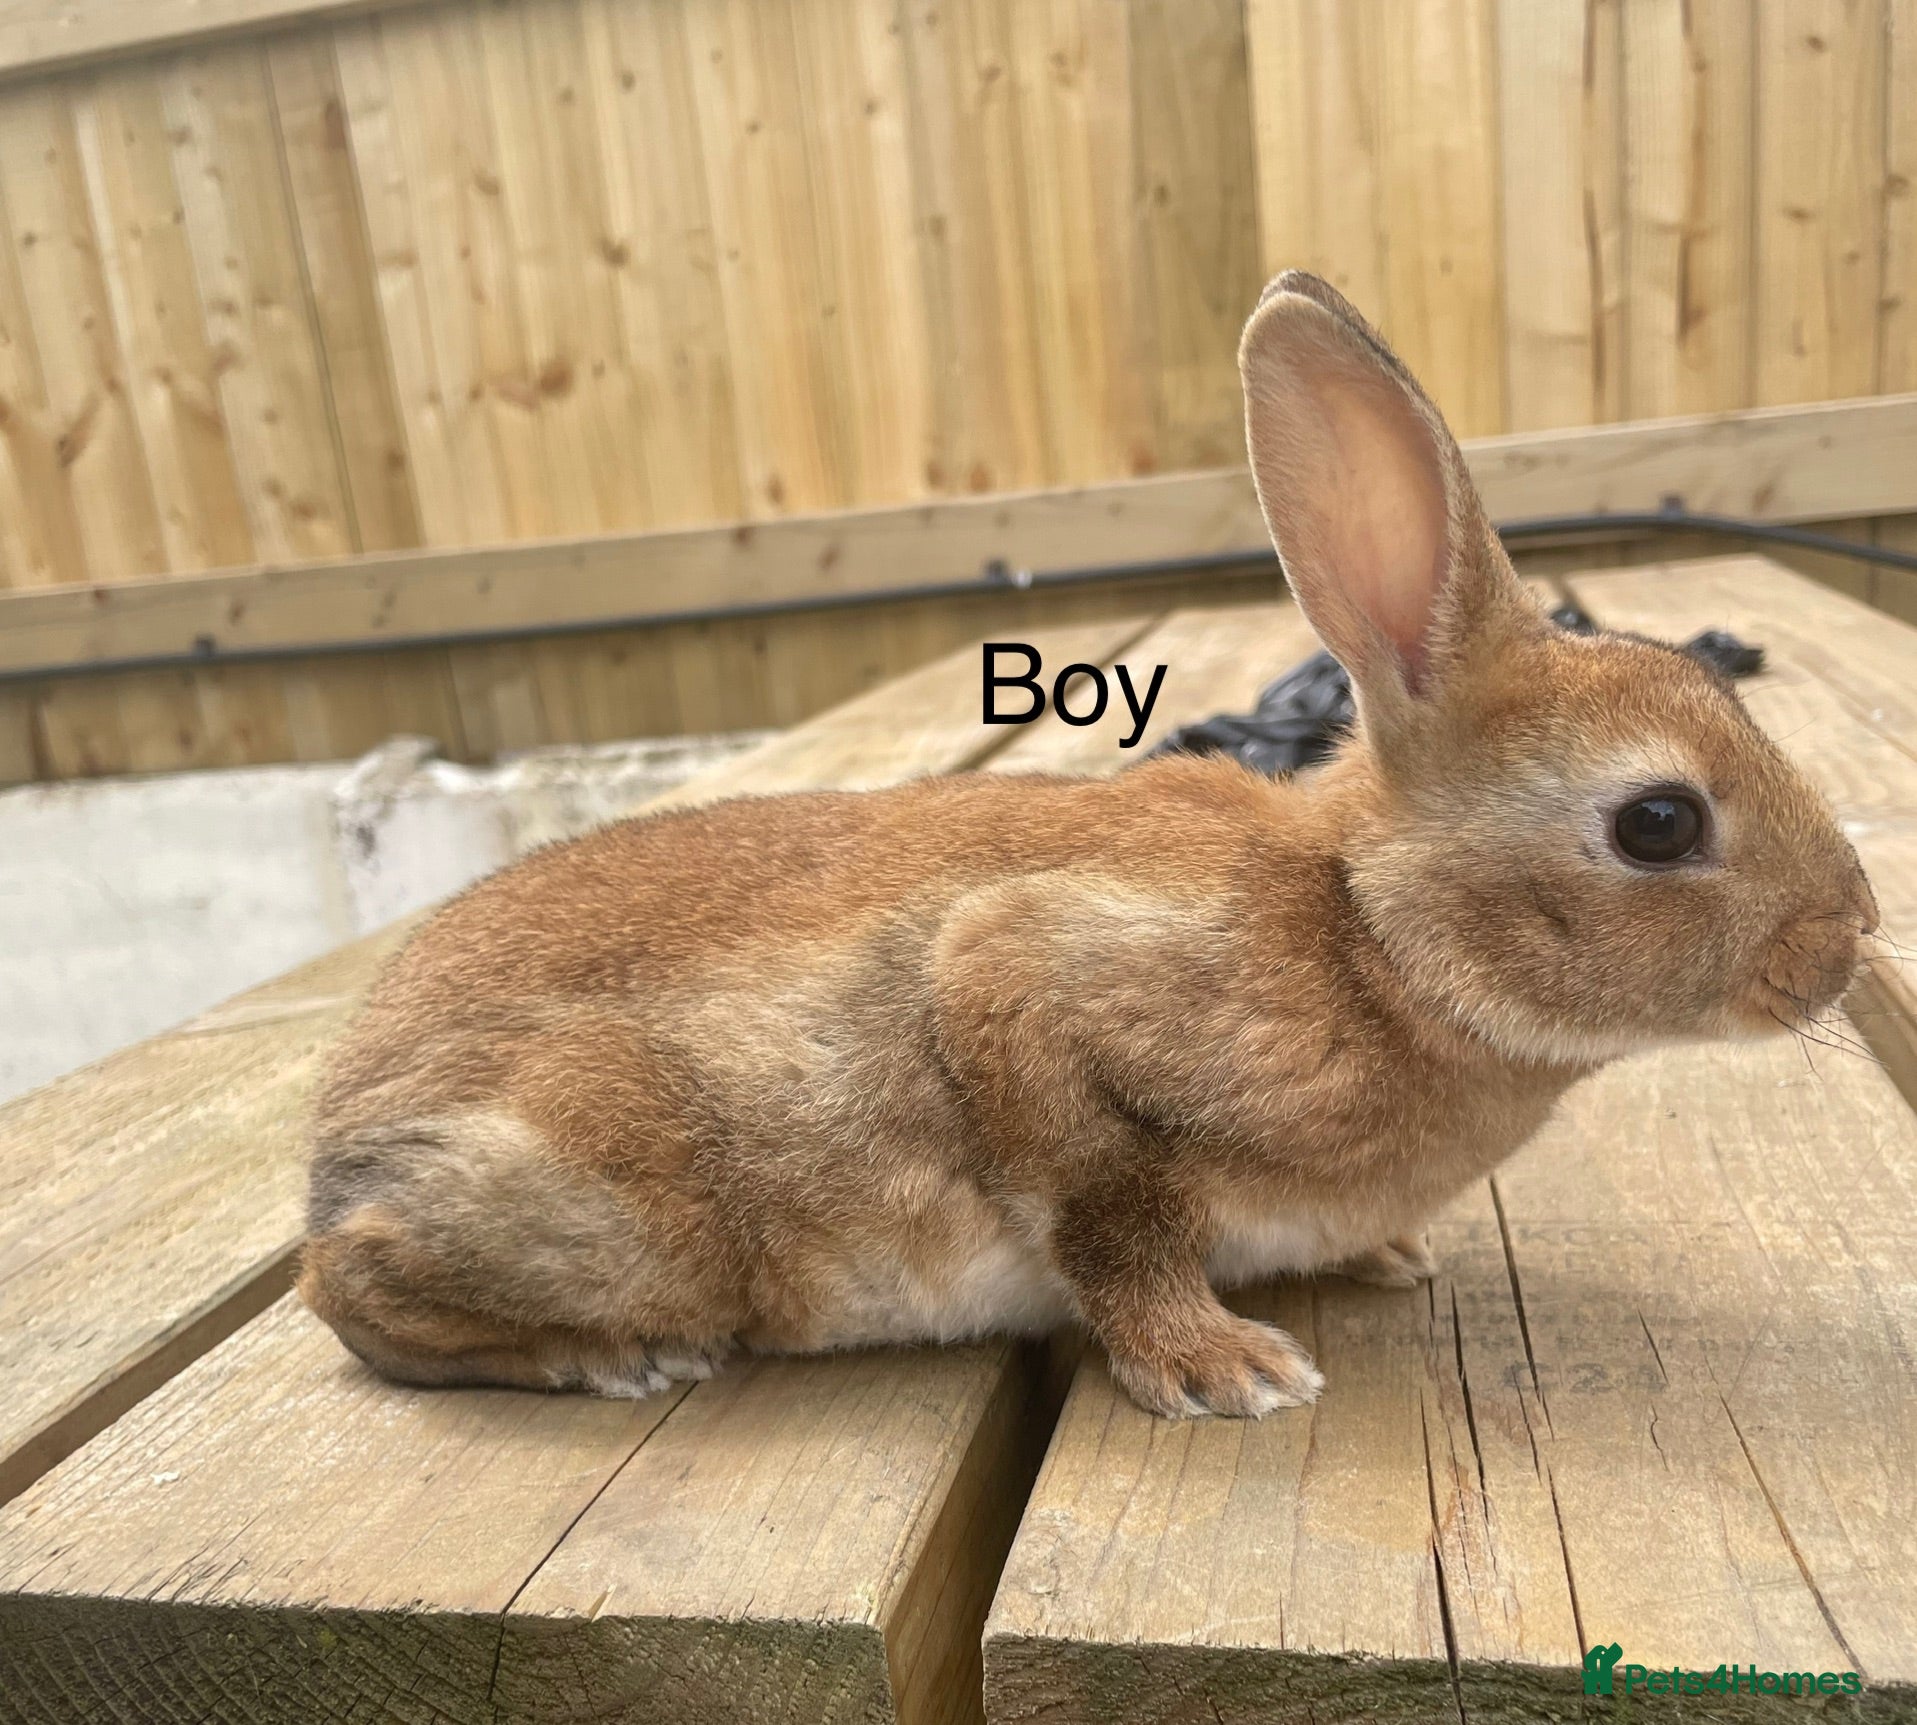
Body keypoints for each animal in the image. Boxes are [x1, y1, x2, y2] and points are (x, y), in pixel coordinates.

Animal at [299, 272, 1878, 1419]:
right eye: (1659, 821)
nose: (1850, 936)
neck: (1367, 931)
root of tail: (336, 1142)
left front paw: (1379, 1255)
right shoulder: (1031, 989)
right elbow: (1107, 1209)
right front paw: (1223, 1370)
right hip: (612, 1206)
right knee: (351, 1294)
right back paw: (603, 1358)